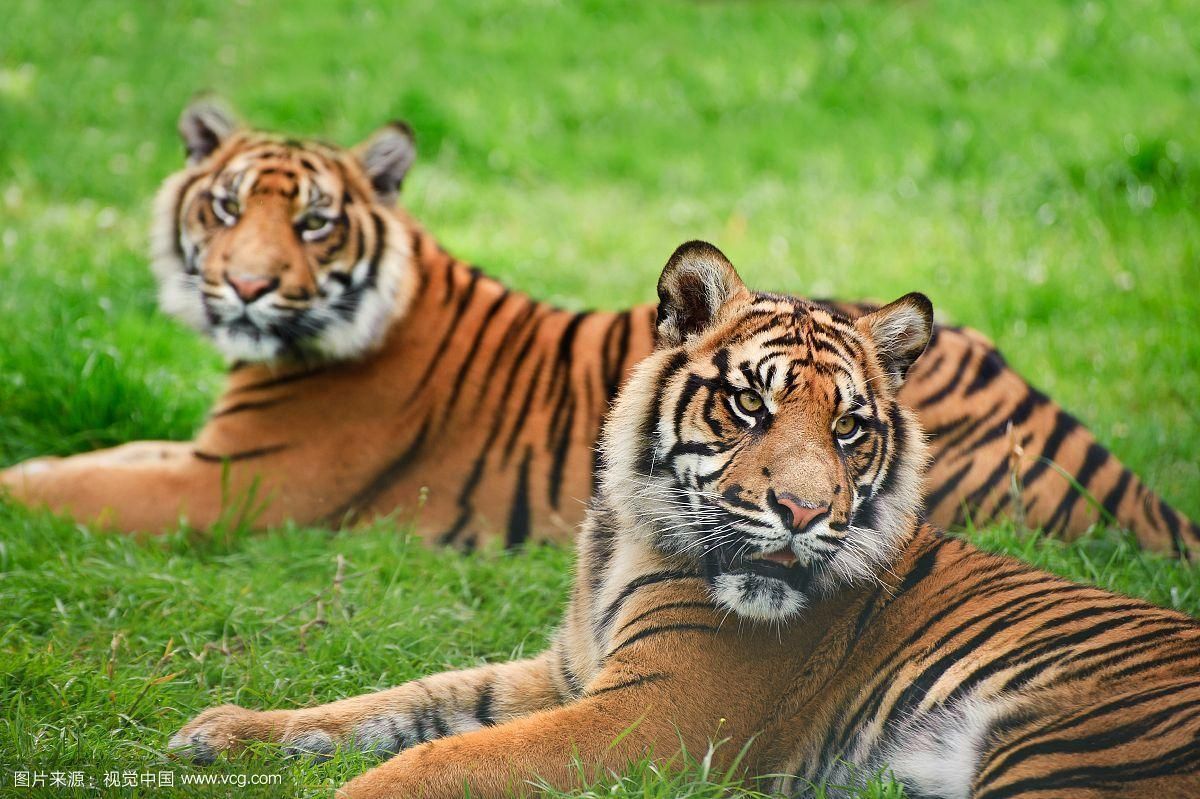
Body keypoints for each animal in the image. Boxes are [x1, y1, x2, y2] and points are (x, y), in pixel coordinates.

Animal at [2, 99, 1196, 557]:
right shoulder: (198, 451)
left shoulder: (234, 485)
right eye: (223, 209)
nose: (245, 288)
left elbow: (74, 486)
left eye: (312, 222)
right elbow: (94, 456)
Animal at [169, 241, 1200, 798]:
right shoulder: (563, 673)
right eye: (750, 404)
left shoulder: (649, 713)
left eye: (849, 428)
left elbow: (442, 758)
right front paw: (220, 731)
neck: (627, 539)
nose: (802, 510)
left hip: (1064, 742)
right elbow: (402, 703)